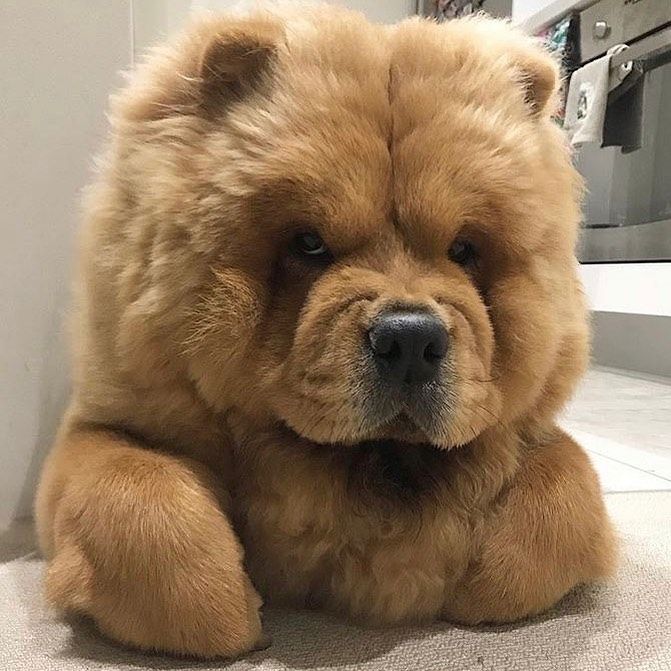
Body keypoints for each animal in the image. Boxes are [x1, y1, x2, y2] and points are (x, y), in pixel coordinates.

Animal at [34, 2, 616, 660]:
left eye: (464, 250)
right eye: (309, 243)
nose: (410, 339)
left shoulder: (537, 434)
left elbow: (569, 491)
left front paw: (484, 588)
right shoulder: (102, 427)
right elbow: (137, 503)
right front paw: (232, 615)